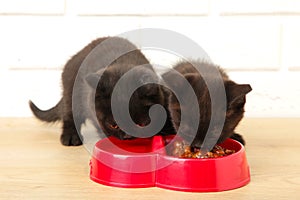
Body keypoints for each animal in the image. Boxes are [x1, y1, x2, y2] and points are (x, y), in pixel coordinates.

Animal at [29, 36, 175, 145]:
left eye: (142, 124)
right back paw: (70, 137)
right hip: (71, 92)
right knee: (70, 114)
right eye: (113, 125)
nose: (127, 136)